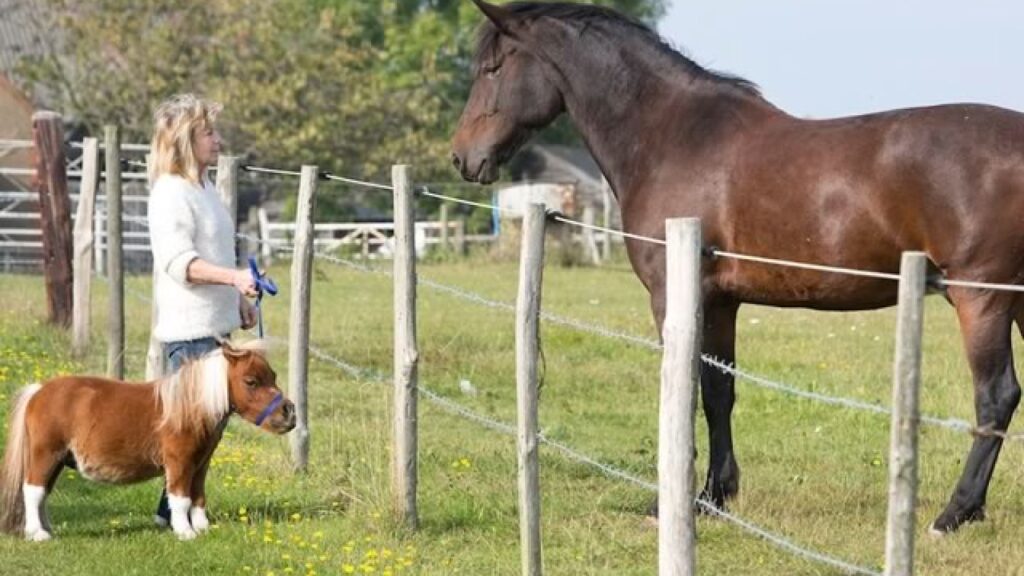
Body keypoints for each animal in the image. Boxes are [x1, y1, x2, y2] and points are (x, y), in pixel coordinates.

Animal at [0, 340, 296, 541]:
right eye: (251, 381)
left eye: (273, 376)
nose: (289, 412)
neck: (187, 407)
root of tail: (38, 390)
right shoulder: (179, 462)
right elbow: (181, 498)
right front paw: (185, 532)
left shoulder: (201, 463)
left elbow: (198, 495)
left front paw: (202, 527)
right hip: (45, 454)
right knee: (33, 490)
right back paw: (37, 533)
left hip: (58, 460)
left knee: (42, 494)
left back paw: (47, 529)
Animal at [450, 0, 1024, 535]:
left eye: (494, 68)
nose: (461, 157)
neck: (672, 138)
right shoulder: (722, 301)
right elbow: (717, 391)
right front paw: (713, 496)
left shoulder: (674, 295)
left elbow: (685, 391)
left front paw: (676, 502)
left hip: (981, 298)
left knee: (996, 398)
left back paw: (954, 514)